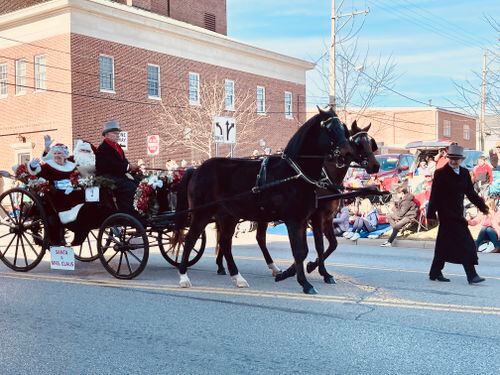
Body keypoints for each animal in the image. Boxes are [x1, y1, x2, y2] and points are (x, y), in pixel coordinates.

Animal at [176, 108, 356, 294]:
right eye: (329, 128)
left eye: (343, 128)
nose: (347, 152)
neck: (294, 173)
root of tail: (196, 169)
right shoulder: (294, 220)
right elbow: (299, 252)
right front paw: (305, 283)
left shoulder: (304, 219)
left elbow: (305, 250)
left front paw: (289, 275)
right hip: (201, 213)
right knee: (190, 240)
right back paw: (184, 276)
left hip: (228, 216)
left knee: (225, 242)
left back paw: (237, 277)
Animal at [213, 120, 380, 282]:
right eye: (358, 143)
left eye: (370, 142)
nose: (375, 165)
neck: (324, 177)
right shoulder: (315, 217)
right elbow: (318, 245)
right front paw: (313, 270)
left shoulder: (326, 217)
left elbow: (332, 244)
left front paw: (311, 269)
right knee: (228, 237)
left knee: (250, 238)